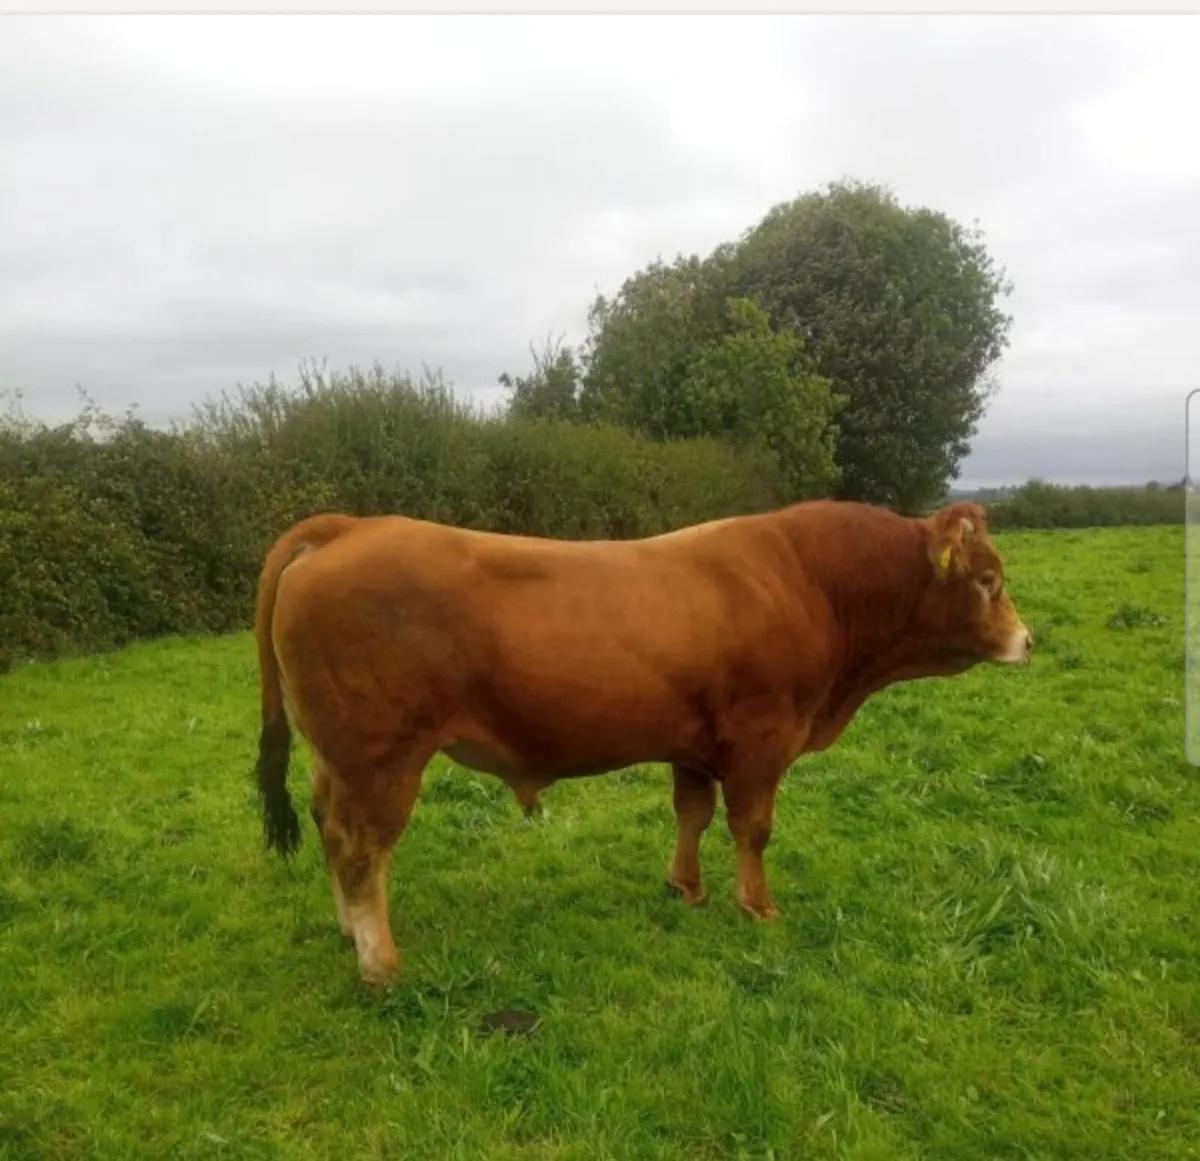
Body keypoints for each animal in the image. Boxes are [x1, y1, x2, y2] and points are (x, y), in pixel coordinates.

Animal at [252, 498, 1032, 986]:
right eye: (989, 580)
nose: (1028, 640)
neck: (809, 583)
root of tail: (351, 526)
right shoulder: (761, 739)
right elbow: (753, 827)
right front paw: (758, 907)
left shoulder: (694, 743)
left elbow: (693, 812)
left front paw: (686, 887)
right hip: (382, 757)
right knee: (361, 847)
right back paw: (379, 962)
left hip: (336, 758)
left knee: (328, 828)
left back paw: (348, 932)